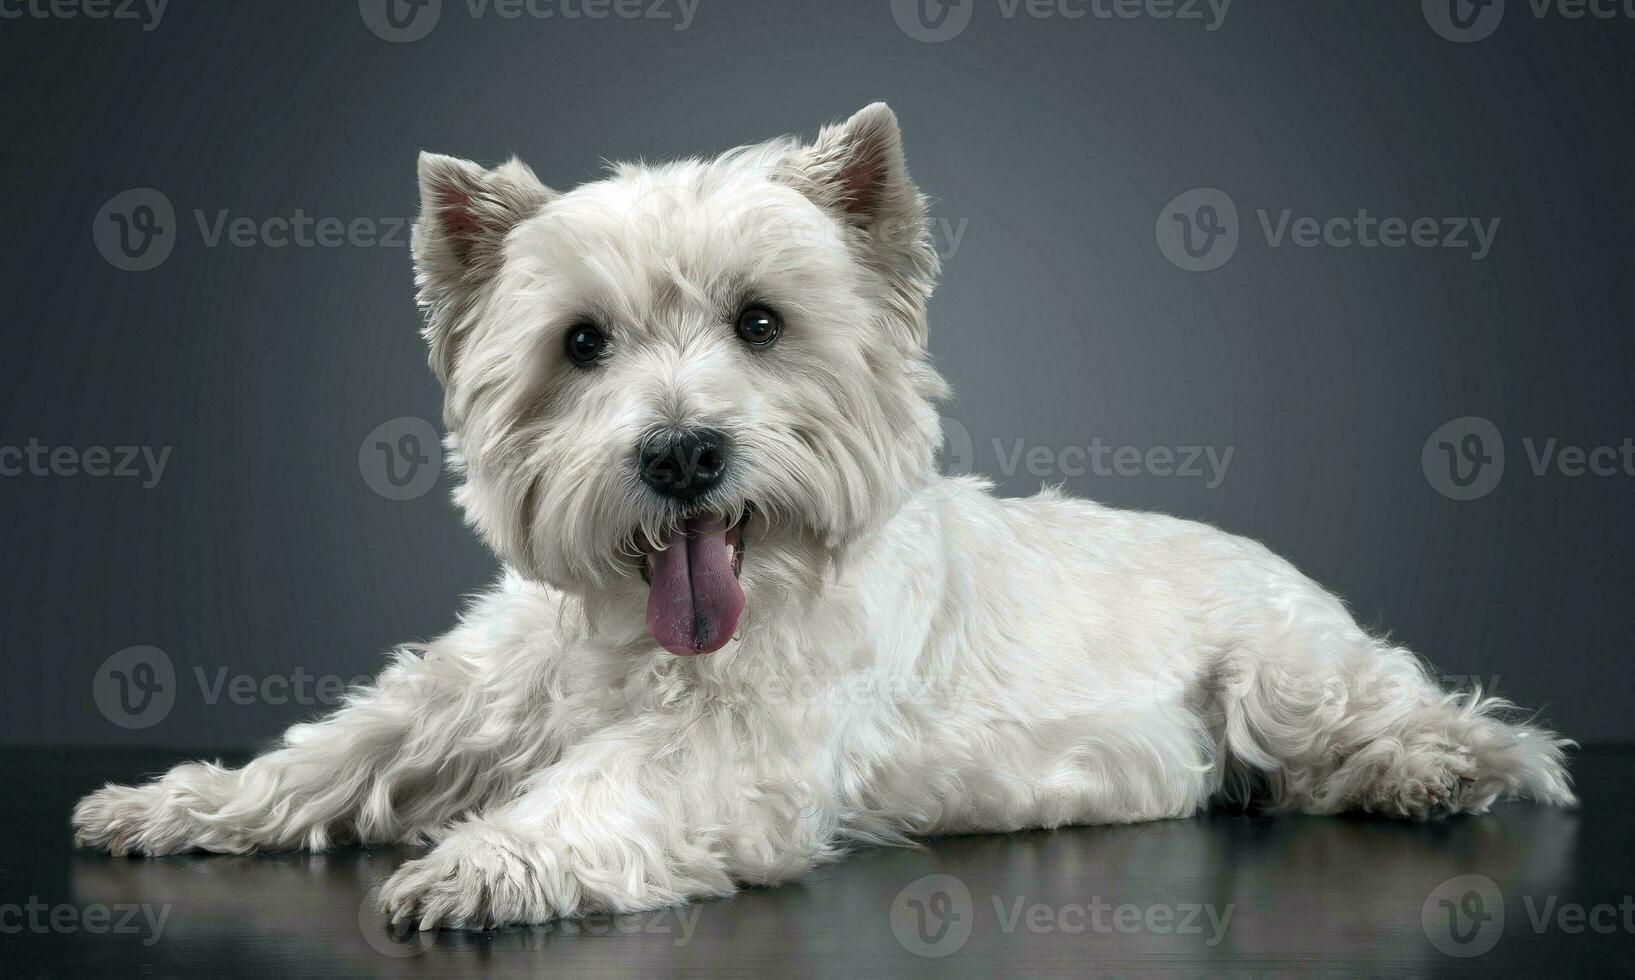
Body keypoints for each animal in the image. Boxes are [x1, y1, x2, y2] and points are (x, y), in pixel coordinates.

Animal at [70, 103, 1576, 929]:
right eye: (579, 344)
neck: (638, 634)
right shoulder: (463, 698)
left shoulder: (743, 757)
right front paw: (171, 801)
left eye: (759, 323)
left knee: (1451, 723)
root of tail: (1270, 555)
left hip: (1281, 673)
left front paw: (480, 864)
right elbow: (334, 752)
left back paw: (1436, 770)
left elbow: (604, 785)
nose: (681, 453)